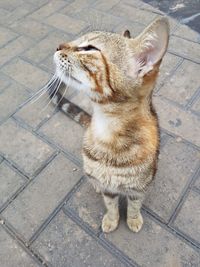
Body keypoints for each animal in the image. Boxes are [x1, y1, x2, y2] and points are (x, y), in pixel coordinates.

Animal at [49, 16, 169, 233]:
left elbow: (134, 206)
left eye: (90, 48)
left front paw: (133, 219)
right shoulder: (109, 190)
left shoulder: (138, 189)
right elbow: (111, 205)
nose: (58, 46)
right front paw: (112, 220)